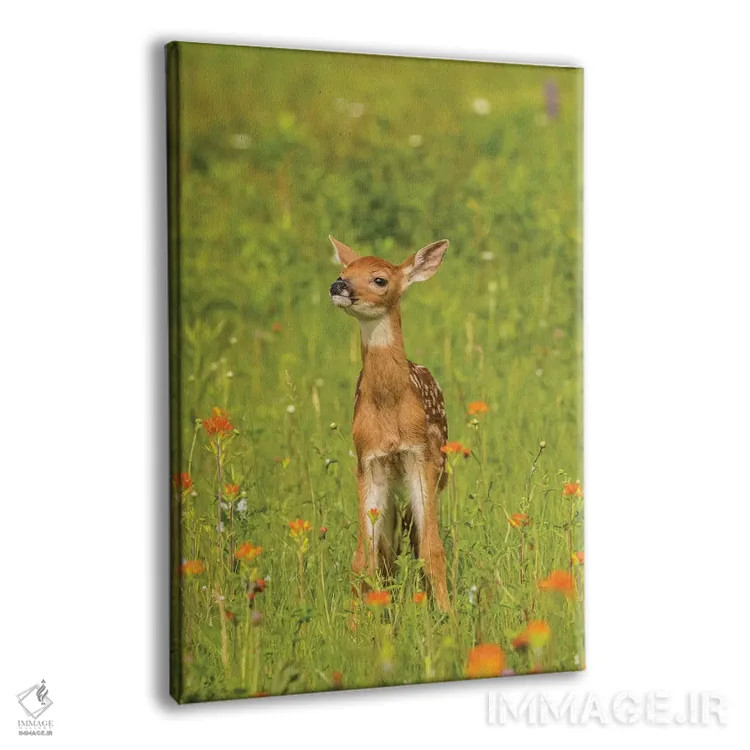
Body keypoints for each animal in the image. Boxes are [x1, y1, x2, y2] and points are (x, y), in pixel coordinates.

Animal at [328, 235, 451, 612]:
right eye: (343, 272)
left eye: (380, 279)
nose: (339, 285)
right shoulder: (368, 461)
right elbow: (364, 557)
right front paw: (356, 620)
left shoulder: (420, 456)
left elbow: (432, 549)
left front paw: (448, 615)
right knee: (388, 549)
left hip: (439, 467)